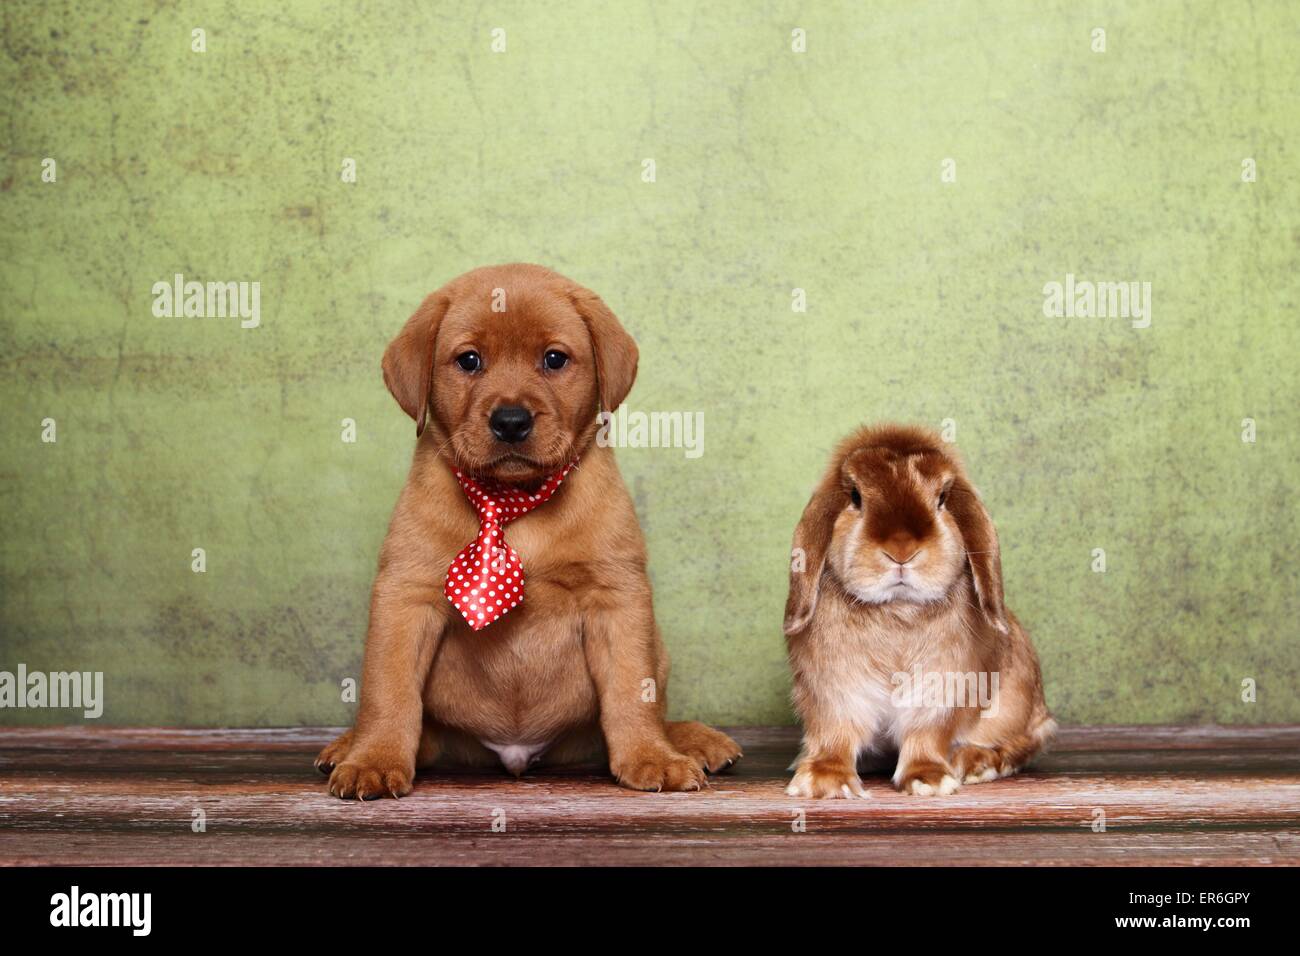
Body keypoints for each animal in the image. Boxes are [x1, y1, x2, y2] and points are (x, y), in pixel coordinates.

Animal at [315, 264, 743, 801]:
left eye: (554, 359)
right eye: (469, 360)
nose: (511, 421)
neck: (512, 502)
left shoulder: (617, 598)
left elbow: (632, 692)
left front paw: (651, 757)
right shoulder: (405, 596)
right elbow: (388, 693)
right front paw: (373, 758)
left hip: (650, 659)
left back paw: (692, 740)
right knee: (423, 731)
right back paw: (347, 745)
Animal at [774, 421, 1050, 796]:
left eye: (942, 498)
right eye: (856, 497)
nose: (901, 549)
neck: (897, 609)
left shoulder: (944, 689)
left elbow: (927, 735)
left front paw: (928, 780)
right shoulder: (833, 690)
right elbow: (835, 732)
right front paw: (824, 781)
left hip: (1016, 704)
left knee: (1026, 741)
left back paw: (977, 763)